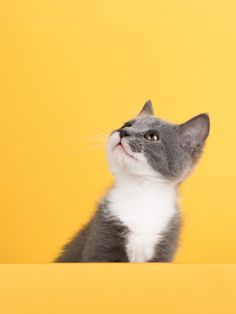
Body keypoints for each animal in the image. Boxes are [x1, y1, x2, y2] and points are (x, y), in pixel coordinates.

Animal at [55, 101, 210, 262]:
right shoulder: (102, 238)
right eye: (126, 125)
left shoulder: (164, 246)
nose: (123, 132)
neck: (140, 193)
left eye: (152, 136)